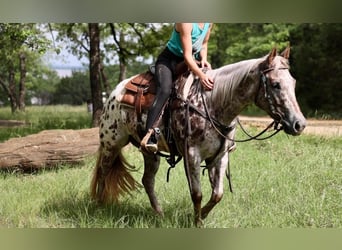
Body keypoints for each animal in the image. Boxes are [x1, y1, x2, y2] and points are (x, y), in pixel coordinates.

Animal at [89, 46, 306, 227]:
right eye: (275, 84)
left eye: (293, 82)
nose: (299, 124)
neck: (212, 103)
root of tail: (114, 93)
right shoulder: (192, 155)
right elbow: (197, 194)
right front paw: (197, 222)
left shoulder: (220, 157)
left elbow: (217, 194)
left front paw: (201, 216)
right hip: (111, 144)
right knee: (103, 172)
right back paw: (98, 206)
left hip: (150, 153)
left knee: (147, 180)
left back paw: (159, 214)